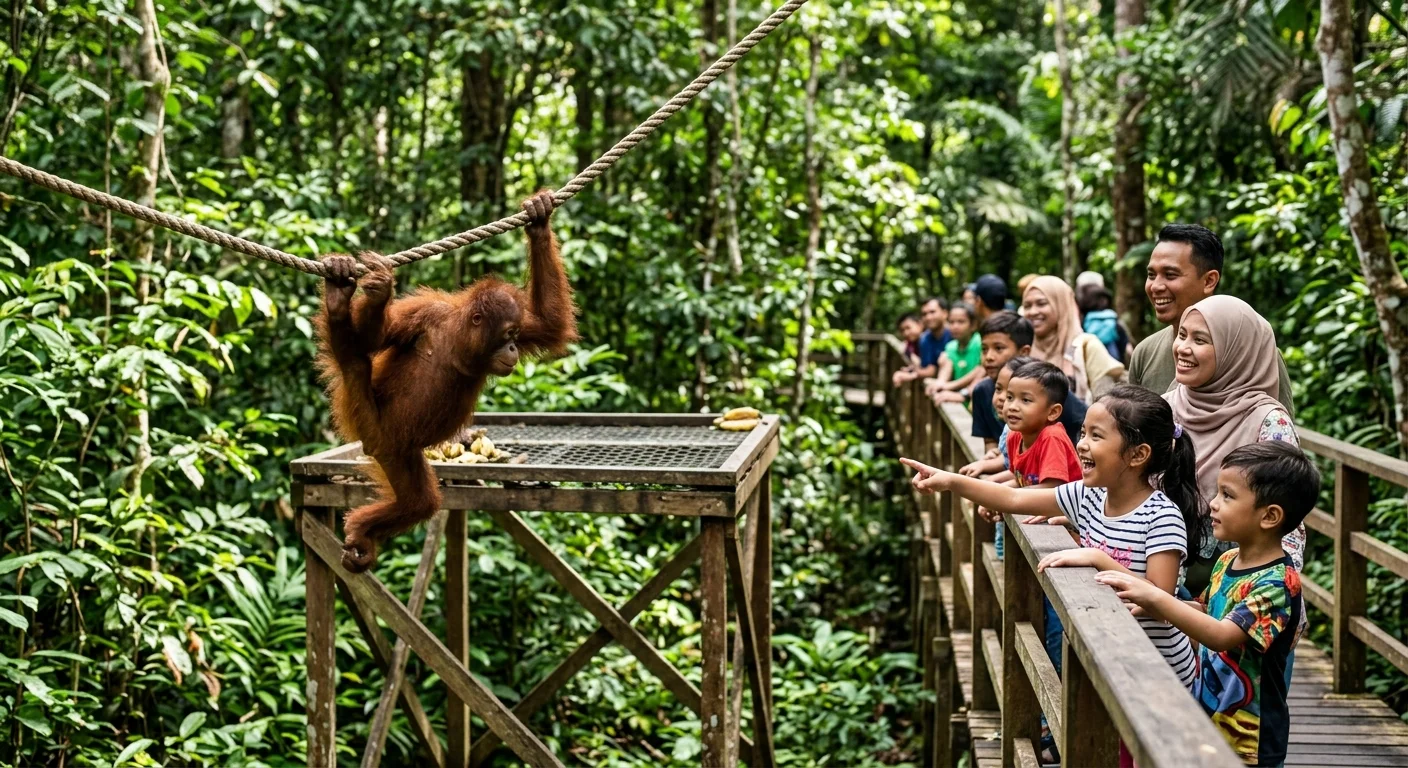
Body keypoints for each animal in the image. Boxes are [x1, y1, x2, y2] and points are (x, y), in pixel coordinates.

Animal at [316, 190, 577, 572]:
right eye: (507, 335)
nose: (513, 348)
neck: (458, 340)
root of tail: (375, 444)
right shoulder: (425, 312)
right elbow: (371, 340)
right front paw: (380, 291)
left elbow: (549, 325)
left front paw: (539, 218)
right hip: (365, 417)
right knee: (355, 361)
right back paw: (337, 305)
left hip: (399, 453)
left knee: (418, 503)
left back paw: (363, 532)